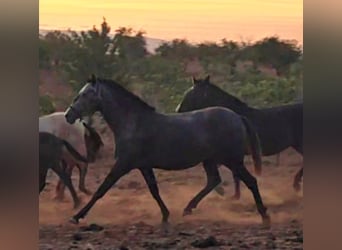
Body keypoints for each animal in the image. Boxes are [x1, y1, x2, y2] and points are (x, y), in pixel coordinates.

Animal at [64, 74, 272, 227]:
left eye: (85, 94)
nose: (68, 115)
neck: (133, 122)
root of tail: (238, 117)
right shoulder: (143, 166)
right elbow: (154, 190)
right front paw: (165, 215)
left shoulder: (123, 164)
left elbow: (102, 189)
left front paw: (77, 216)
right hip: (211, 160)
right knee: (214, 180)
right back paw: (188, 209)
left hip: (232, 160)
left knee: (250, 181)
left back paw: (264, 216)